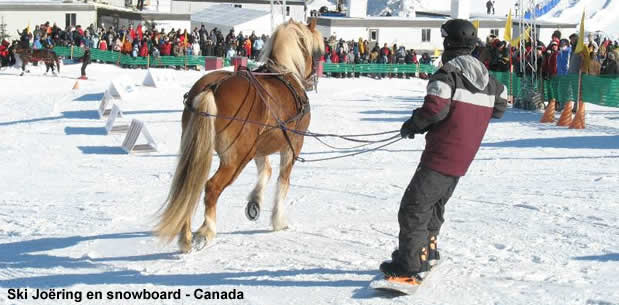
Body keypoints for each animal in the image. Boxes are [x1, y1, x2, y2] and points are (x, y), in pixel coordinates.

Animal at [154, 19, 324, 252]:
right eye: (318, 52)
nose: (313, 79)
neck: (285, 73)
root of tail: (212, 87)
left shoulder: (258, 148)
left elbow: (266, 171)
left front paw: (255, 202)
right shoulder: (292, 146)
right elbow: (283, 181)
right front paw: (278, 220)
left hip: (203, 151)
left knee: (191, 188)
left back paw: (186, 238)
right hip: (235, 159)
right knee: (211, 188)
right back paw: (206, 231)